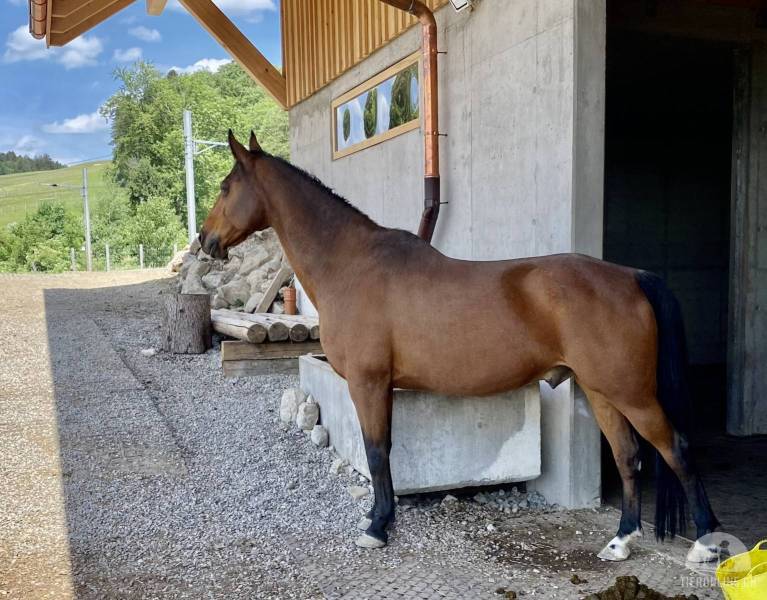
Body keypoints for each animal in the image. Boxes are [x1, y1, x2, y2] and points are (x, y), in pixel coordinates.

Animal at [199, 131, 720, 562]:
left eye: (225, 187)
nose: (205, 241)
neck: (351, 265)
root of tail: (631, 276)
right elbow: (385, 450)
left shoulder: (369, 383)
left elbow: (377, 451)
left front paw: (378, 526)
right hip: (601, 391)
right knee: (628, 455)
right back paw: (621, 541)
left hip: (632, 393)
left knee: (675, 448)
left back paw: (706, 545)